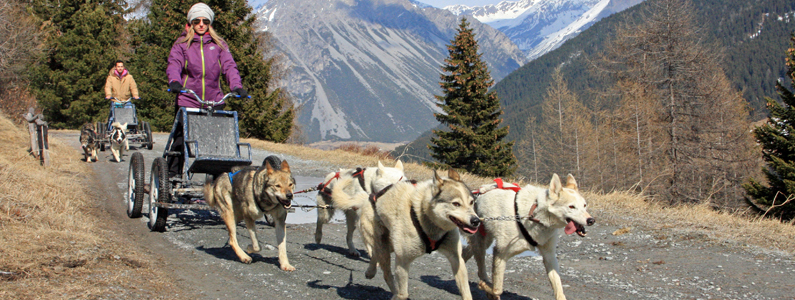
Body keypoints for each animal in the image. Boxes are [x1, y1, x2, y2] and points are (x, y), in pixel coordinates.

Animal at [332, 169, 482, 300]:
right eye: (456, 204)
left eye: (471, 202)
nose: (476, 221)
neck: (424, 216)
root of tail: (367, 199)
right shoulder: (403, 260)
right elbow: (402, 294)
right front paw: (397, 296)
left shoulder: (456, 258)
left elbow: (466, 291)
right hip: (384, 245)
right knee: (386, 273)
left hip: (389, 245)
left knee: (375, 255)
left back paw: (370, 272)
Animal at [460, 173, 596, 300]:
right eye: (571, 206)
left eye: (584, 205)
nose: (591, 220)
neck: (534, 213)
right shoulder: (500, 253)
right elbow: (497, 288)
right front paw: (485, 287)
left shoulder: (549, 255)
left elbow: (558, 288)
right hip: (481, 244)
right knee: (481, 269)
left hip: (483, 241)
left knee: (465, 254)